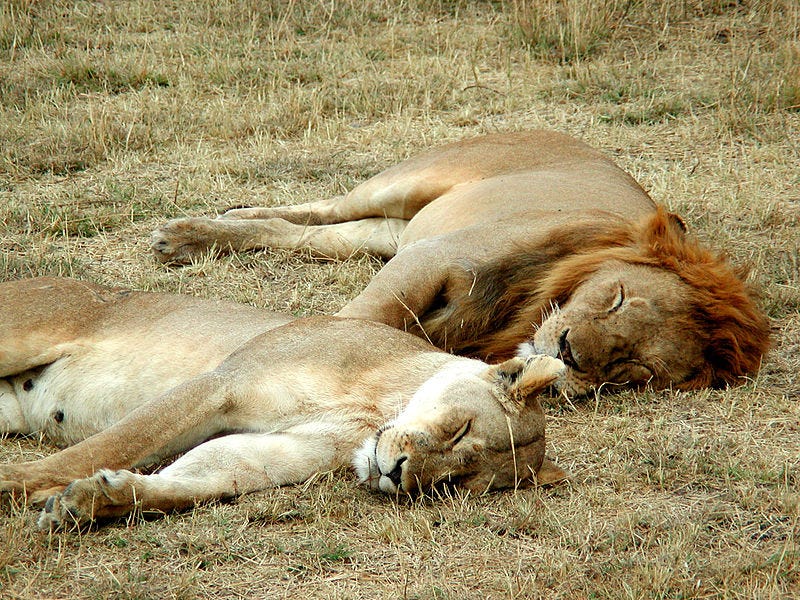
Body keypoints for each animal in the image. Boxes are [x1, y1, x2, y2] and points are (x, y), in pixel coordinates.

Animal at [0, 278, 564, 528]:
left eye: (453, 484)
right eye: (461, 428)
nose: (398, 474)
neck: (373, 411)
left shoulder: (280, 450)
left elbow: (201, 478)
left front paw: (92, 500)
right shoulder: (219, 384)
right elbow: (110, 444)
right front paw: (20, 483)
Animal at [150, 130, 768, 398]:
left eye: (634, 368)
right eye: (616, 298)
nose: (569, 353)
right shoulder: (434, 257)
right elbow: (362, 319)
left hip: (388, 233)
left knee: (307, 234)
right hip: (405, 185)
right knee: (319, 207)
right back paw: (188, 232)